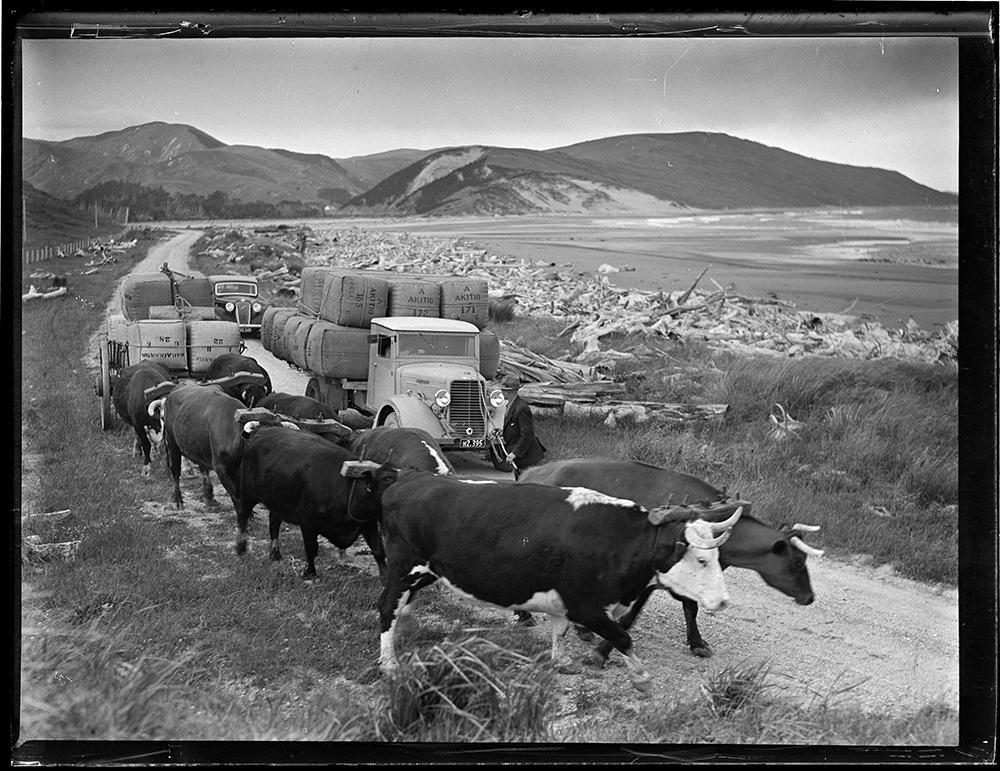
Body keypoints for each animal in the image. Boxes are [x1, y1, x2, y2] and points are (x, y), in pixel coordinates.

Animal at [234, 422, 390, 580]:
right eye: (388, 482)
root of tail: (263, 428)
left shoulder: (367, 522)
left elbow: (378, 550)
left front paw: (385, 577)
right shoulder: (307, 521)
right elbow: (311, 547)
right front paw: (310, 573)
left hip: (277, 498)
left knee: (273, 522)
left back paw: (275, 554)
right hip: (247, 492)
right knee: (242, 516)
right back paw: (241, 548)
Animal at [368, 470, 744, 692]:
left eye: (717, 558)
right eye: (701, 559)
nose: (724, 601)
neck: (619, 539)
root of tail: (406, 480)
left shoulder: (568, 604)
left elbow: (561, 630)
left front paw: (562, 661)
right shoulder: (586, 606)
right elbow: (623, 636)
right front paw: (640, 677)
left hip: (425, 572)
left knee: (399, 608)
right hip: (405, 568)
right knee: (386, 606)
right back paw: (390, 663)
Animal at [520, 458, 824, 664]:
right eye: (798, 563)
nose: (809, 597)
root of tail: (533, 470)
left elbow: (691, 608)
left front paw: (697, 643)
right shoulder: (646, 579)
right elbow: (630, 617)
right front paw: (602, 653)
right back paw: (525, 615)